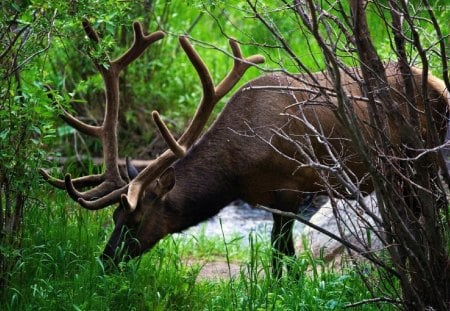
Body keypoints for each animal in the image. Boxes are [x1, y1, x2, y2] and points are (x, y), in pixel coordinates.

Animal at [40, 19, 448, 278]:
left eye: (135, 220)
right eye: (113, 218)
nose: (105, 261)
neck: (236, 172)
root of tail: (439, 85)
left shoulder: (291, 188)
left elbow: (282, 253)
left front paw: (286, 290)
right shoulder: (268, 198)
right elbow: (278, 252)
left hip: (423, 158)